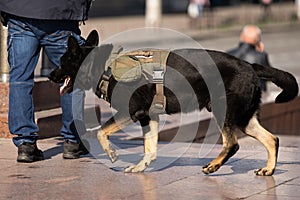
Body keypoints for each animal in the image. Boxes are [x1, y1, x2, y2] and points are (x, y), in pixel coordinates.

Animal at [48, 30, 298, 175]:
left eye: (62, 61)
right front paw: (140, 167)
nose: (50, 75)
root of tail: (250, 65)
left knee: (232, 143)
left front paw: (111, 154)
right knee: (272, 139)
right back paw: (268, 169)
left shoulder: (130, 112)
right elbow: (150, 148)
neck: (104, 67)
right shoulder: (149, 117)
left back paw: (214, 165)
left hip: (222, 111)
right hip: (244, 118)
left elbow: (101, 132)